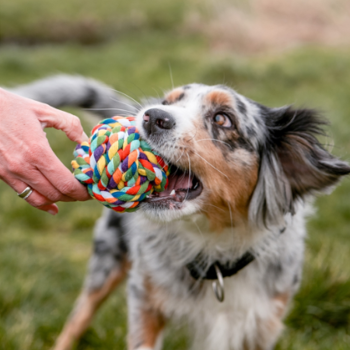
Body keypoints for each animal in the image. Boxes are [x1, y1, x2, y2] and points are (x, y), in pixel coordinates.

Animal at [9, 75, 350, 348]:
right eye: (167, 103)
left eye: (223, 118)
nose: (151, 116)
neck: (214, 247)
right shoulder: (144, 300)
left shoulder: (263, 322)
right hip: (106, 262)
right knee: (77, 319)